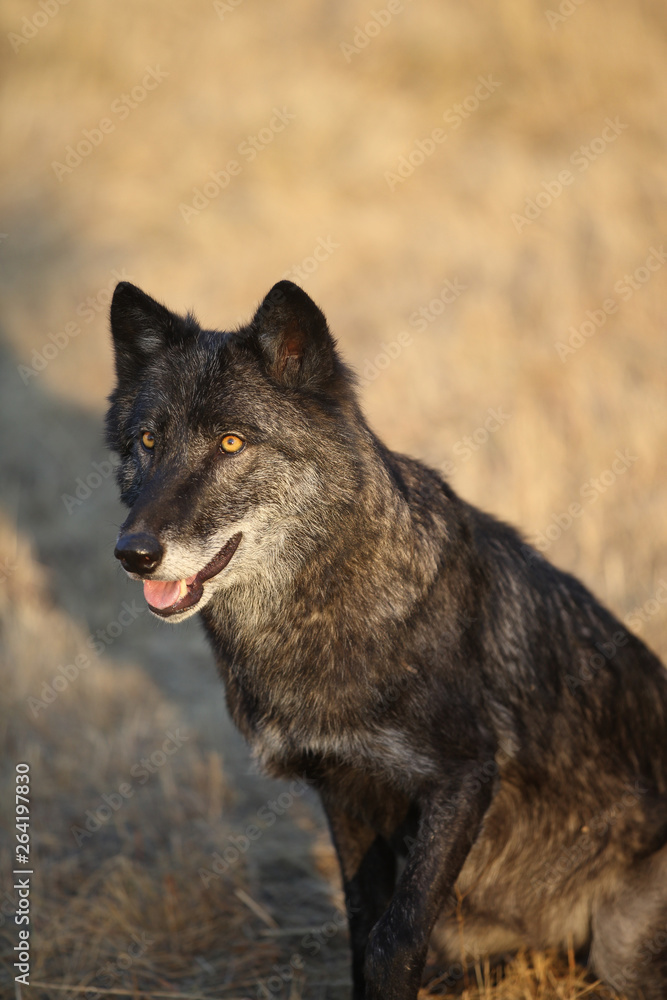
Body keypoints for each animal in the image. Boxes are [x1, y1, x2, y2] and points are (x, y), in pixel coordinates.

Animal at [106, 279, 667, 1000]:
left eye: (231, 443)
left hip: (619, 945)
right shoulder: (343, 788)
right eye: (147, 440)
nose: (133, 553)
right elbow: (361, 924)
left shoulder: (462, 781)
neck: (323, 608)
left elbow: (393, 940)